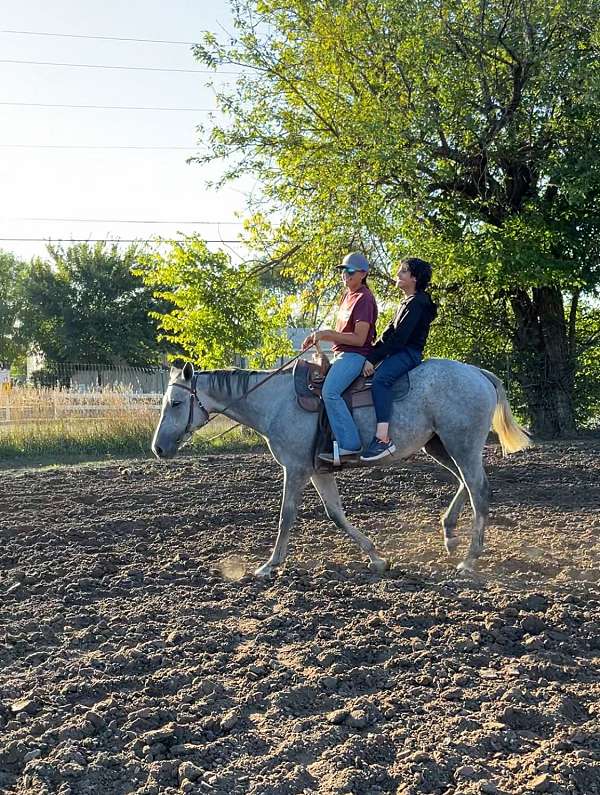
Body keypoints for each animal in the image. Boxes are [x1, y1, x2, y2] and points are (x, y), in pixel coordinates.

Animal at [154, 360, 528, 580]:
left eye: (175, 402)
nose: (158, 448)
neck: (276, 403)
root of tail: (478, 373)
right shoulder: (319, 471)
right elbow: (335, 514)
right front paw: (377, 558)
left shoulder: (296, 469)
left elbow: (286, 516)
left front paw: (269, 565)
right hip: (439, 445)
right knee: (467, 483)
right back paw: (449, 533)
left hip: (461, 443)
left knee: (479, 490)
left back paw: (469, 559)